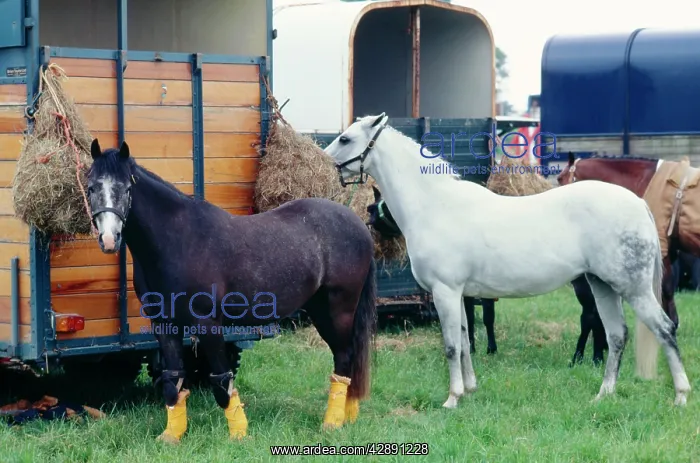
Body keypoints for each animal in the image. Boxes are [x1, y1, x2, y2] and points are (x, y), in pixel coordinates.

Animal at [86, 139, 378, 443]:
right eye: (92, 187)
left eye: (126, 188)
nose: (109, 239)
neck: (178, 240)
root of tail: (357, 224)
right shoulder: (164, 324)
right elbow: (172, 380)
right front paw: (172, 436)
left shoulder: (208, 322)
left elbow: (221, 381)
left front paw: (239, 434)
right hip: (321, 308)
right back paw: (347, 416)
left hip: (338, 309)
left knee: (344, 359)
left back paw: (332, 423)